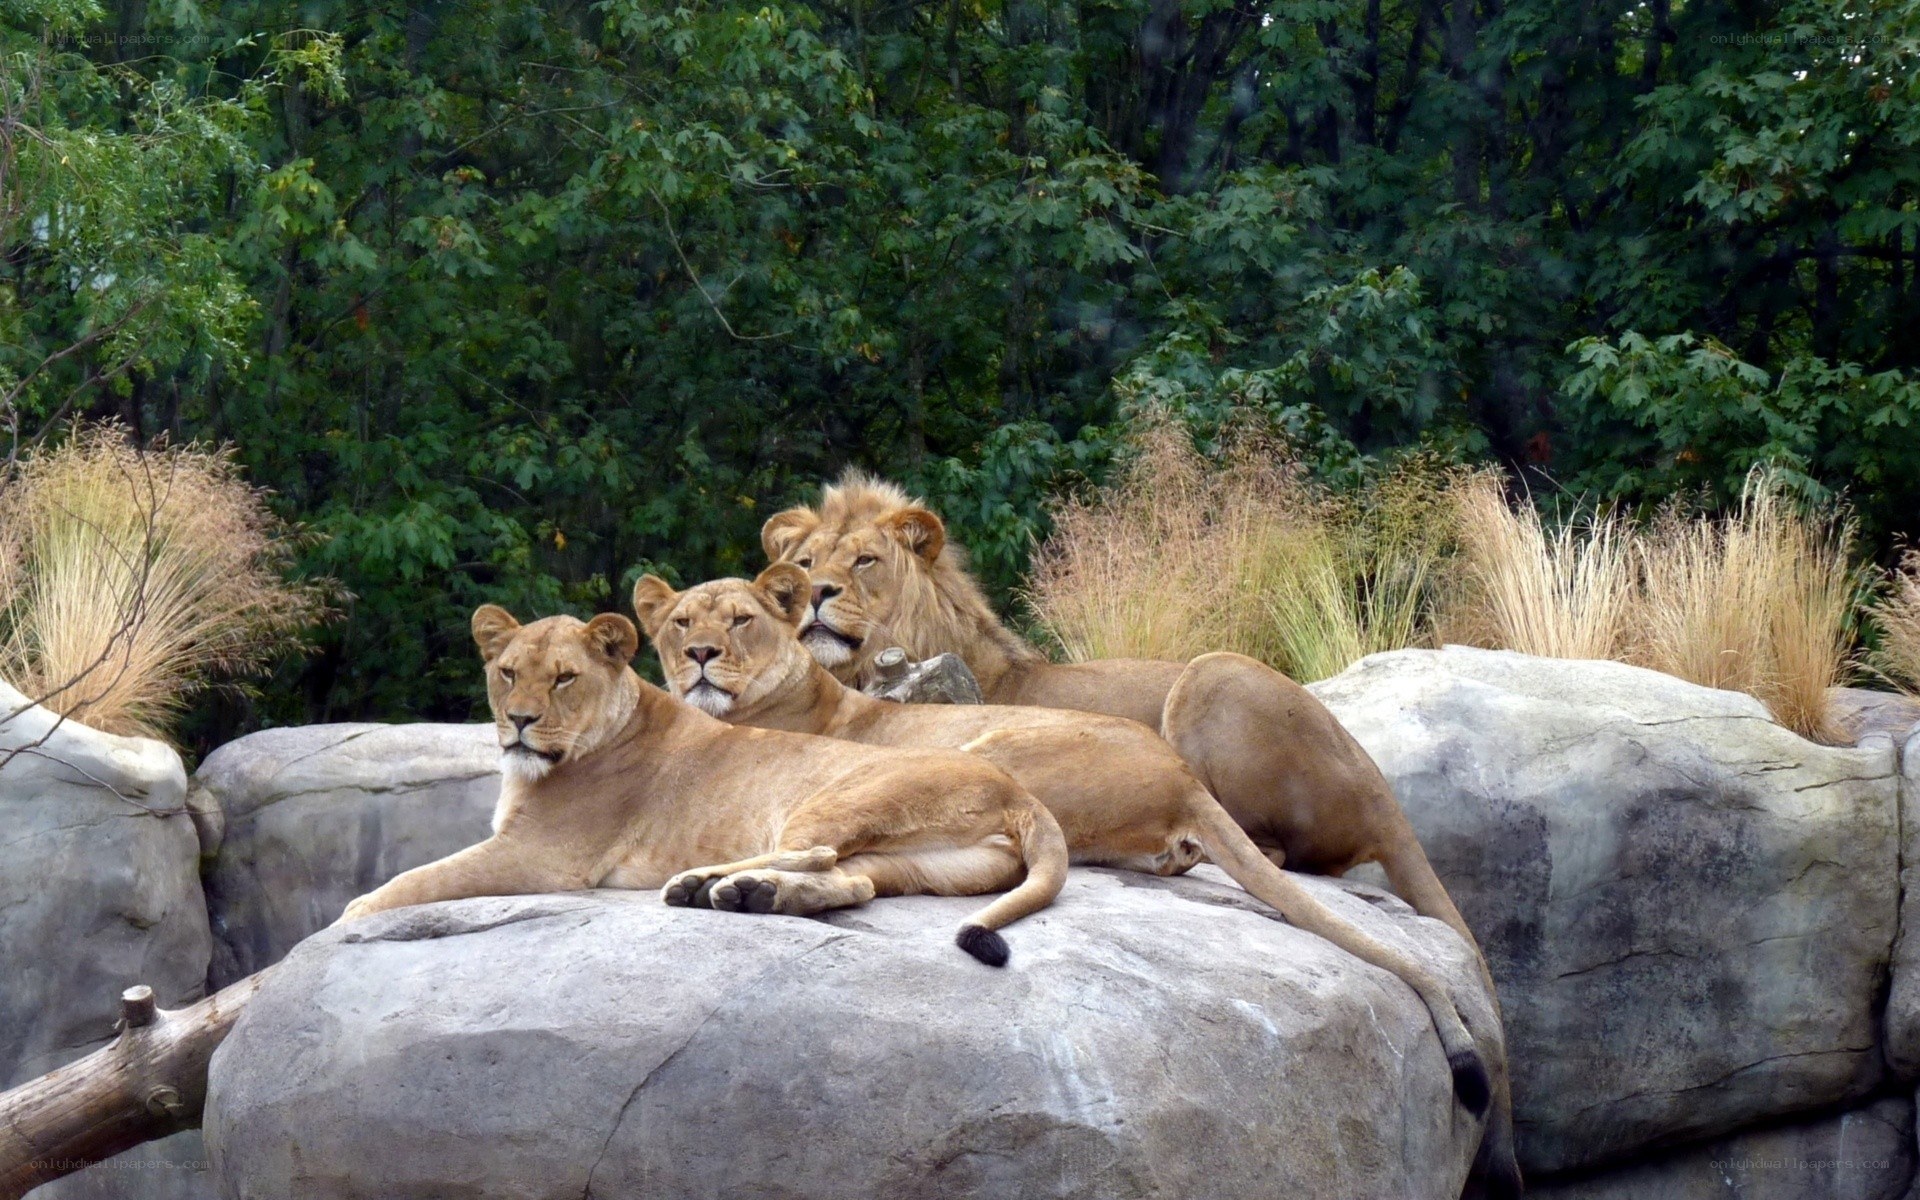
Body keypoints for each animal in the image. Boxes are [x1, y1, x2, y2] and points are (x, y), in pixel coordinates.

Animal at [338, 605, 1070, 966]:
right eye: (508, 672)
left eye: (565, 678)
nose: (518, 721)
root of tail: (1023, 795)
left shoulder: (543, 854)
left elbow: (418, 880)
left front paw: (351, 915)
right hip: (924, 865)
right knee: (851, 880)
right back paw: (749, 895)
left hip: (836, 796)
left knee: (814, 851)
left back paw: (704, 884)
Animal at [761, 472, 1521, 1194]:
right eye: (805, 561)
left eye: (864, 559)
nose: (817, 593)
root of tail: (1380, 787)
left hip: (1208, 673)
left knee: (1271, 850)